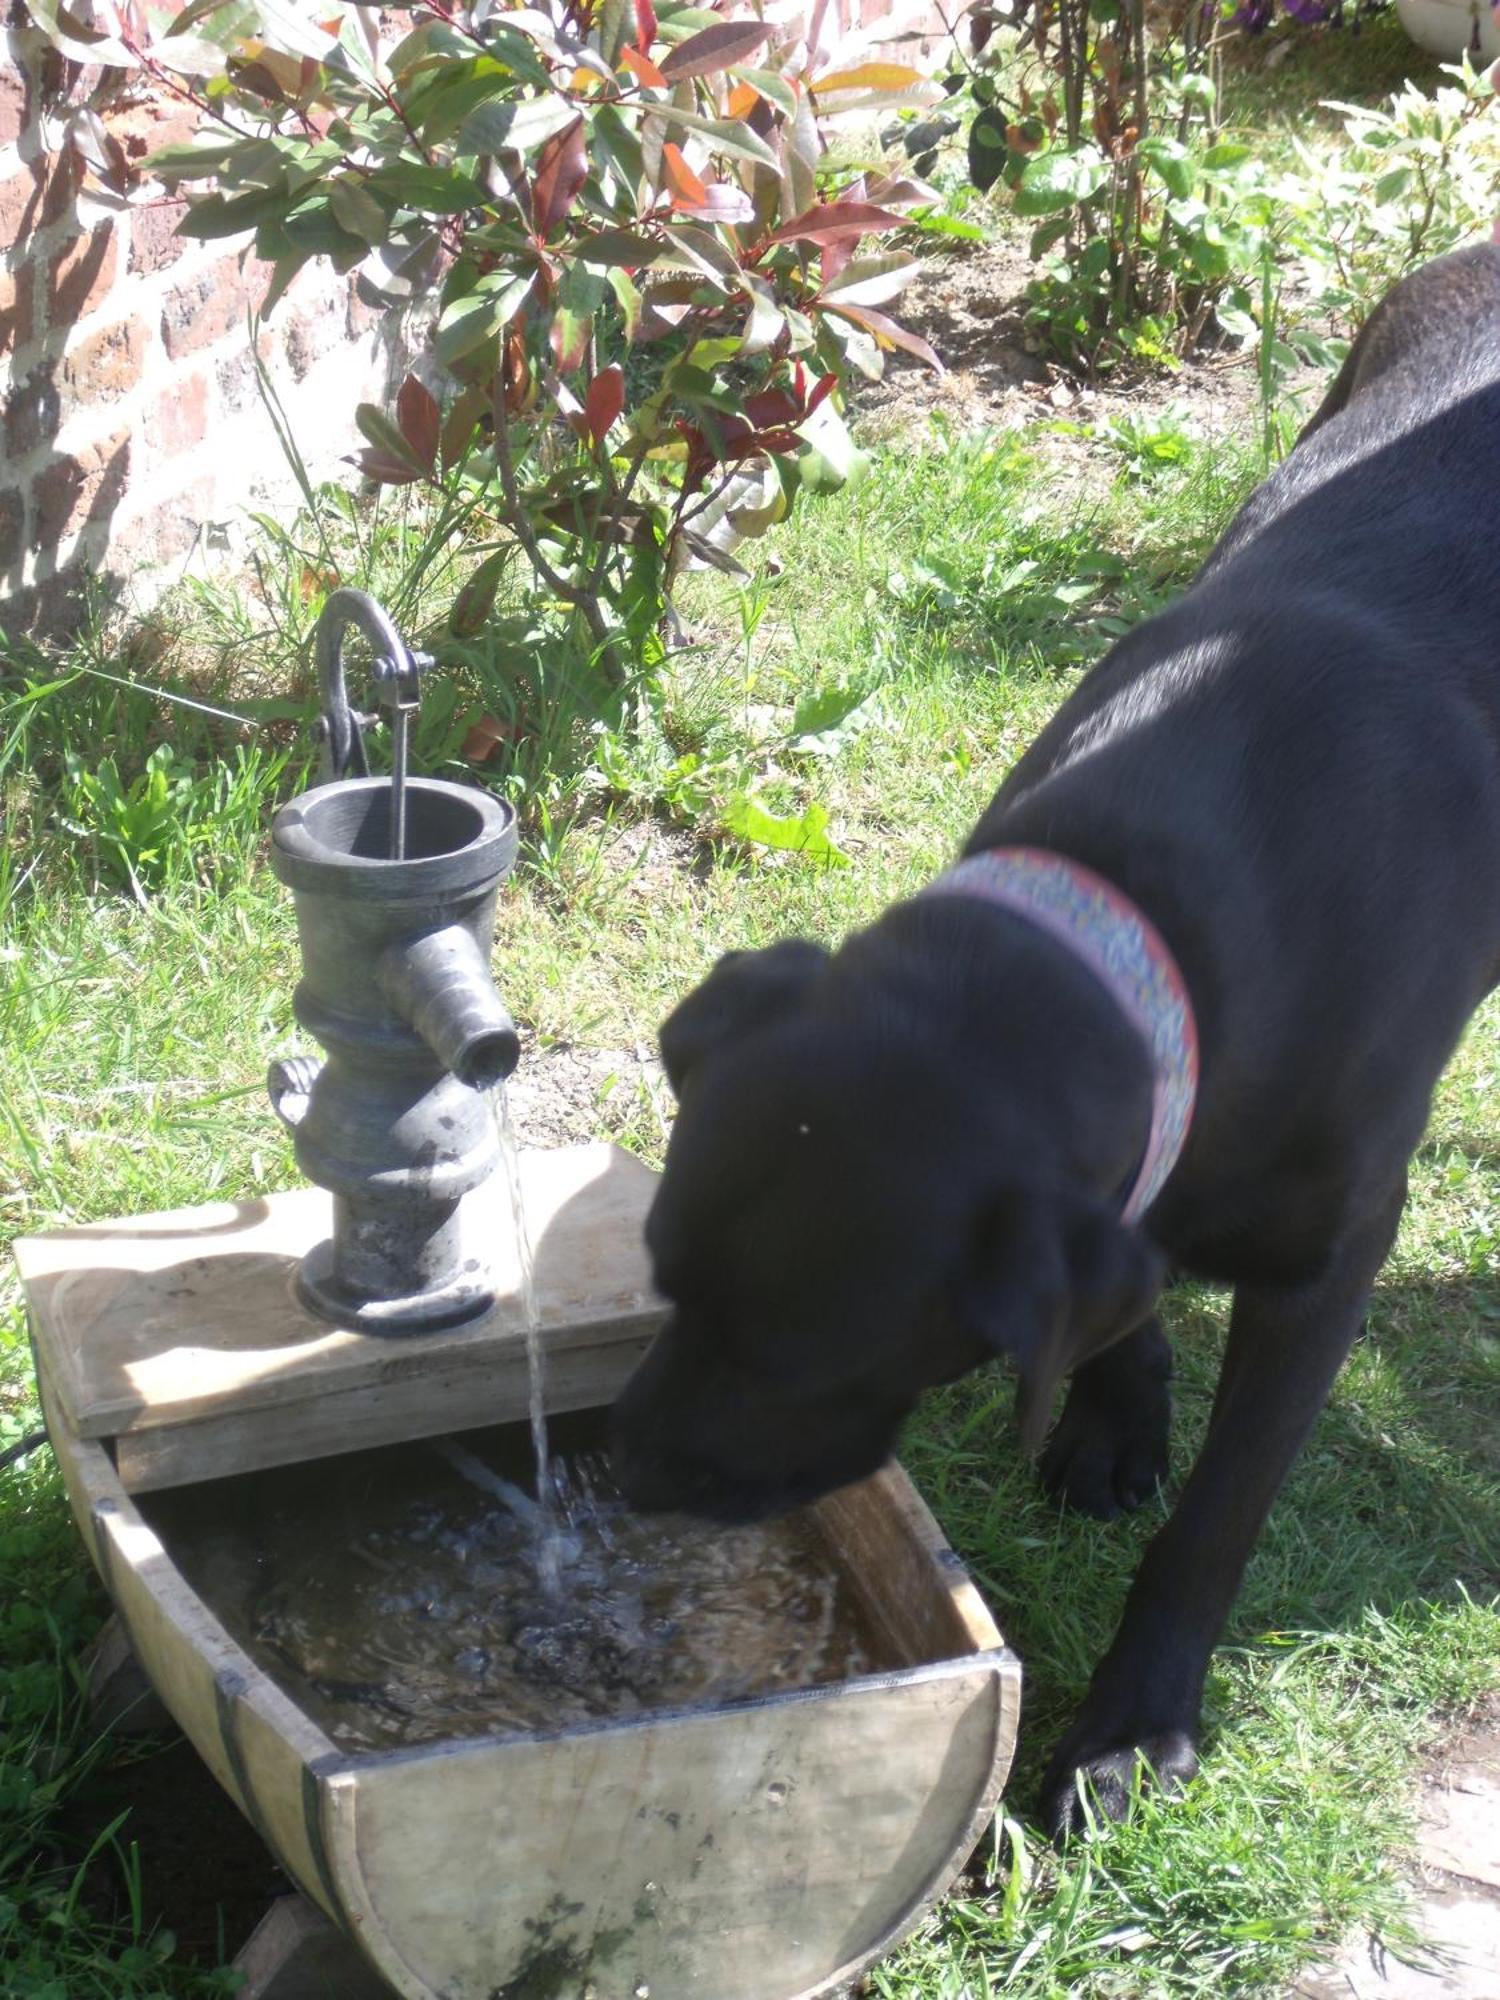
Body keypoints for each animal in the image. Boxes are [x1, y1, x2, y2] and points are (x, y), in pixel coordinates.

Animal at [612, 242, 1500, 1832]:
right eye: (664, 1283)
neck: (1149, 917)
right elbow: (1123, 1296)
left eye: (793, 1358)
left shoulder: (1332, 1257)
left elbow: (1219, 1516)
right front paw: (1113, 1424)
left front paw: (1135, 1726)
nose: (622, 1475)